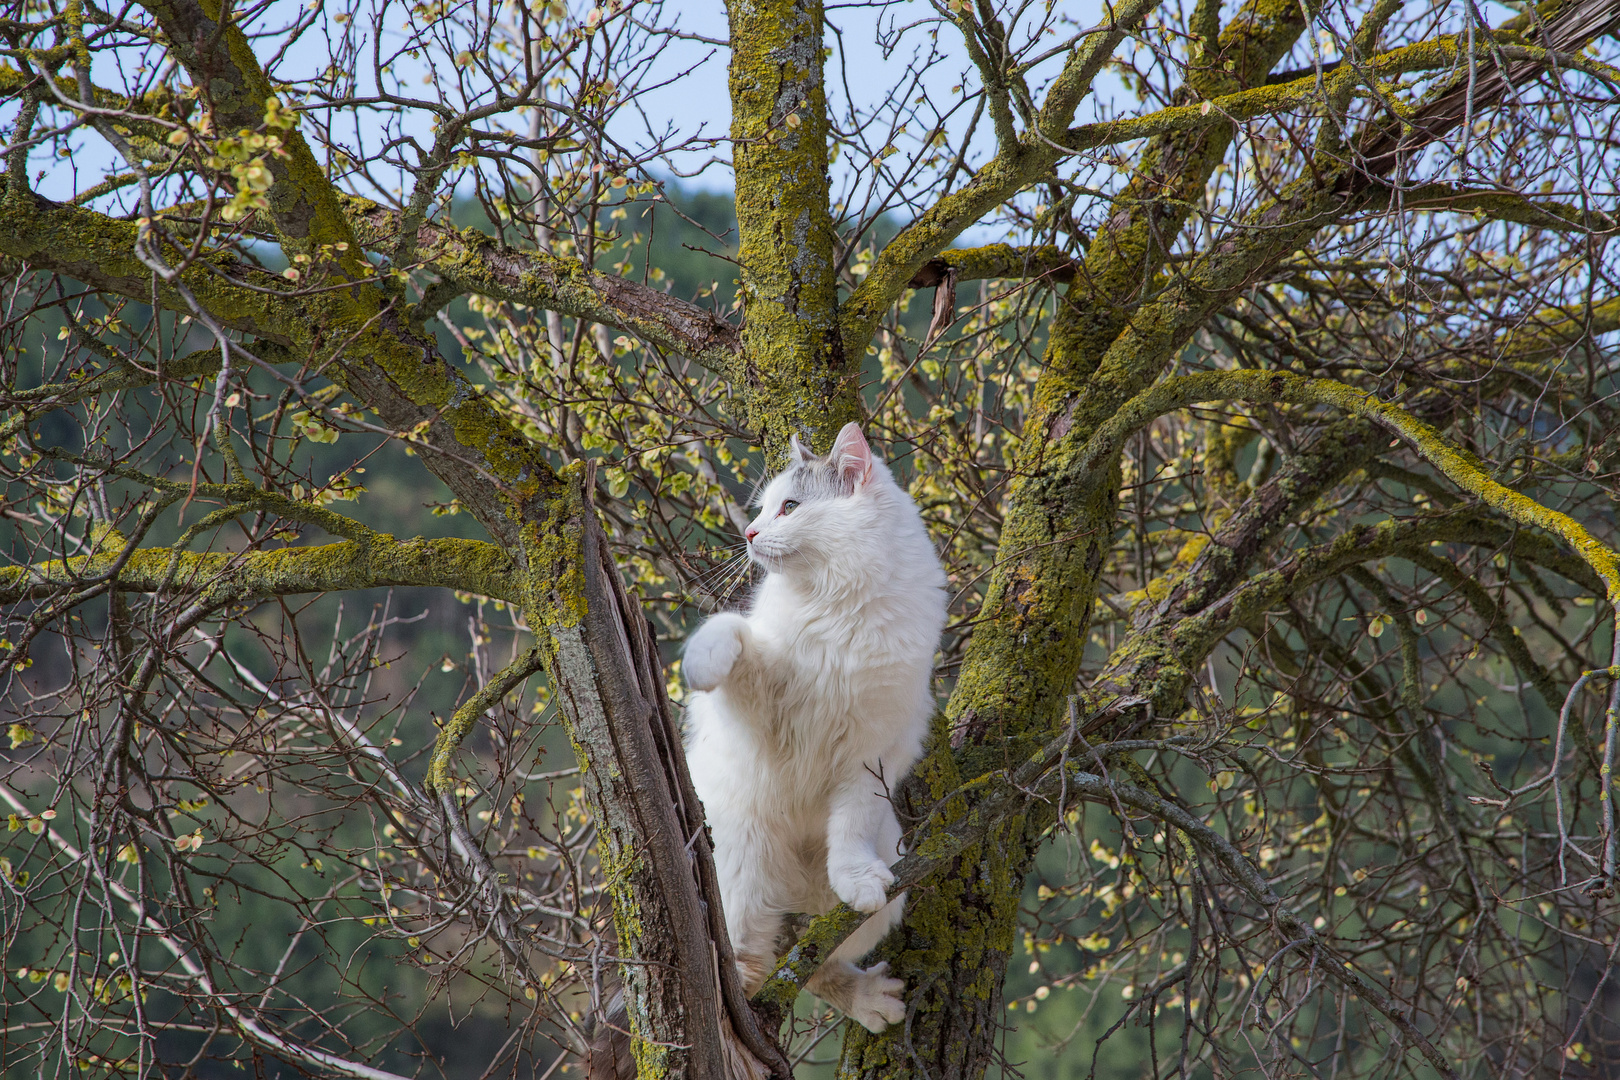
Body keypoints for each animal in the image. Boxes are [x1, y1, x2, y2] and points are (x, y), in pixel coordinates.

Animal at [680, 420, 946, 1029]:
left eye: (790, 508)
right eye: (762, 508)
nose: (750, 532)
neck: (838, 605)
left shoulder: (872, 755)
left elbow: (849, 828)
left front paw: (858, 877)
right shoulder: (764, 705)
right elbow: (728, 628)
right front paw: (700, 664)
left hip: (872, 898)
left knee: (809, 958)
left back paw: (872, 999)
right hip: (742, 875)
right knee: (753, 967)